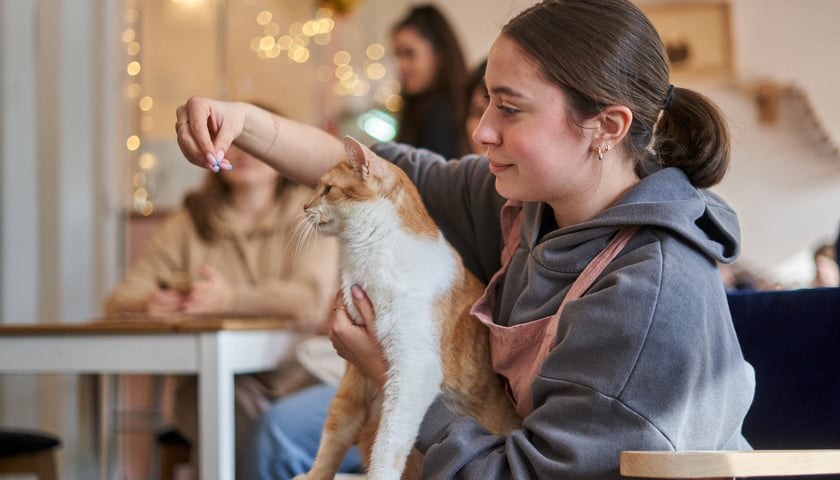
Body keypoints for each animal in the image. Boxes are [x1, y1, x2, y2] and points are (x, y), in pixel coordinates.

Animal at [296, 136, 520, 480]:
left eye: (327, 189)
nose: (305, 206)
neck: (364, 255)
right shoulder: (354, 377)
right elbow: (334, 434)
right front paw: (314, 476)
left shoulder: (413, 368)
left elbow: (388, 445)